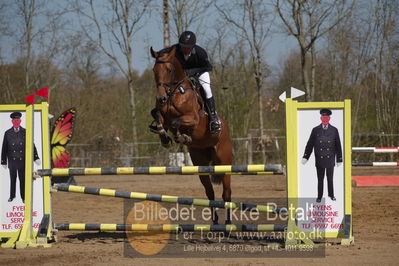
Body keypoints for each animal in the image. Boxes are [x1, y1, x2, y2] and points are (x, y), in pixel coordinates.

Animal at [149, 46, 234, 224]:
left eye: (169, 69)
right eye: (154, 70)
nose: (161, 98)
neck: (173, 92)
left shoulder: (193, 118)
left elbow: (176, 123)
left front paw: (182, 137)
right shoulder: (162, 114)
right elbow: (157, 115)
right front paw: (164, 137)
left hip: (224, 162)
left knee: (227, 193)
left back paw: (228, 222)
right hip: (200, 162)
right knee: (210, 192)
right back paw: (215, 221)